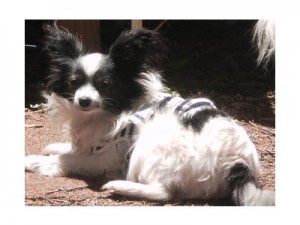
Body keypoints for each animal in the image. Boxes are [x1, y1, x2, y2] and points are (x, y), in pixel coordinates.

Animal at [25, 22, 274, 206]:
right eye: (73, 83)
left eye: (105, 85)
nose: (84, 100)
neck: (107, 113)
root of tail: (239, 164)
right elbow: (74, 149)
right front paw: (57, 147)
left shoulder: (109, 157)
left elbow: (70, 159)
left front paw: (35, 160)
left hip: (150, 143)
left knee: (164, 192)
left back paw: (120, 186)